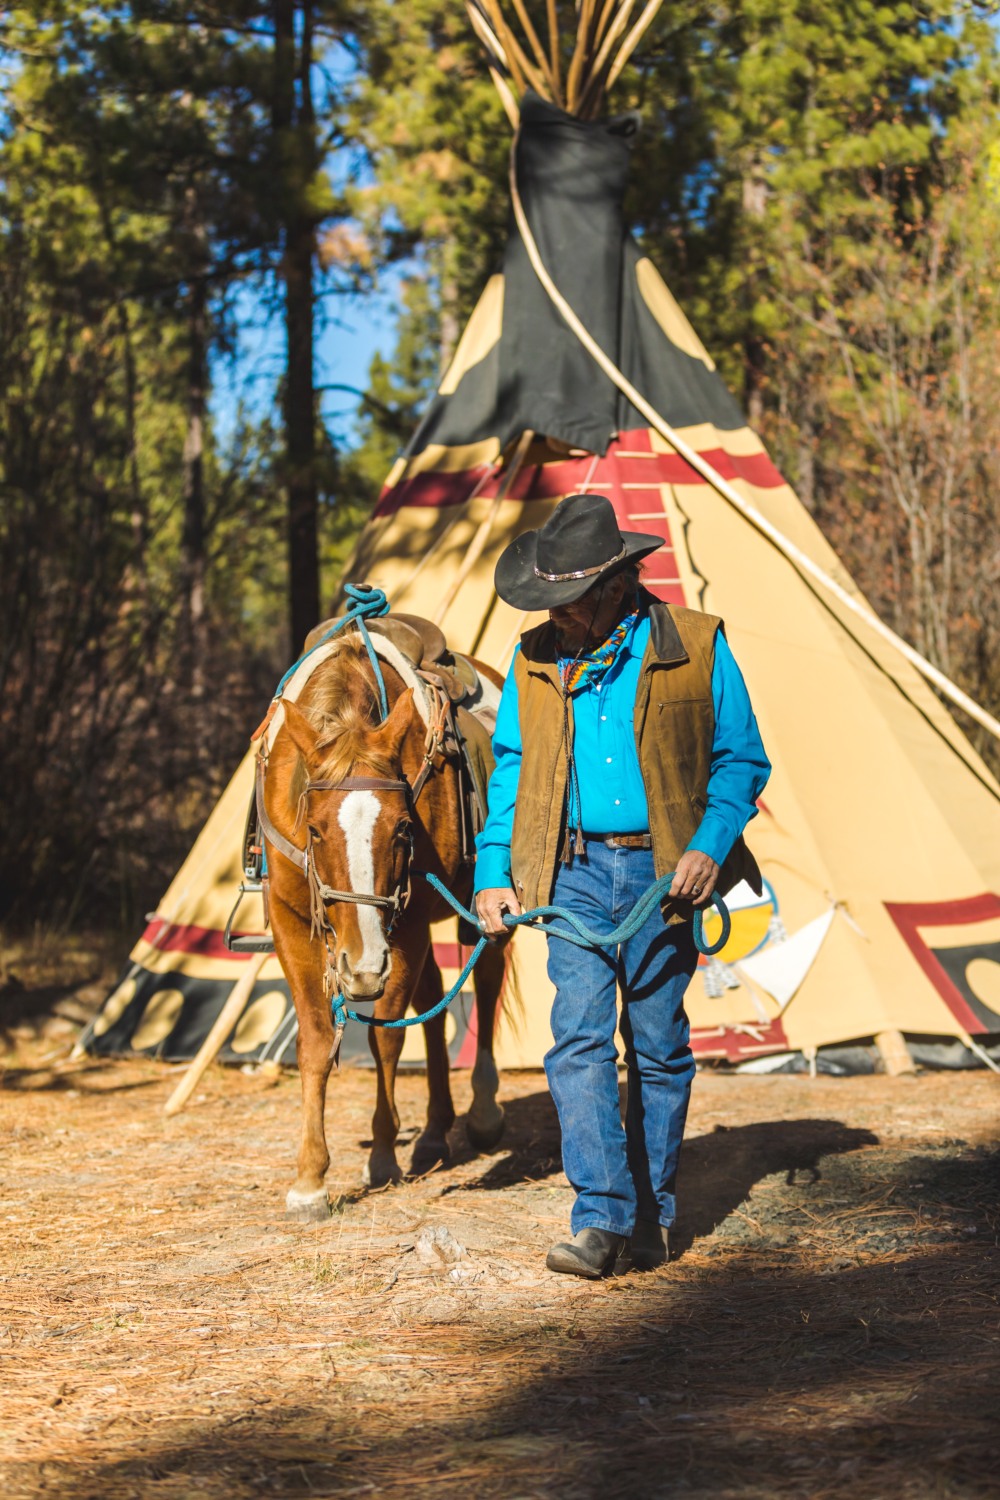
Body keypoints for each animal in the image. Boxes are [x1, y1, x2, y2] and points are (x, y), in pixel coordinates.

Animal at [260, 627, 509, 1224]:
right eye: (314, 829)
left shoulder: (410, 922)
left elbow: (388, 1037)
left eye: (402, 829)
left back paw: (482, 1114)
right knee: (434, 1000)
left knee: (486, 979)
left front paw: (381, 1156)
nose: (363, 965)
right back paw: (436, 1131)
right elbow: (315, 1040)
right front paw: (310, 1179)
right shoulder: (287, 918)